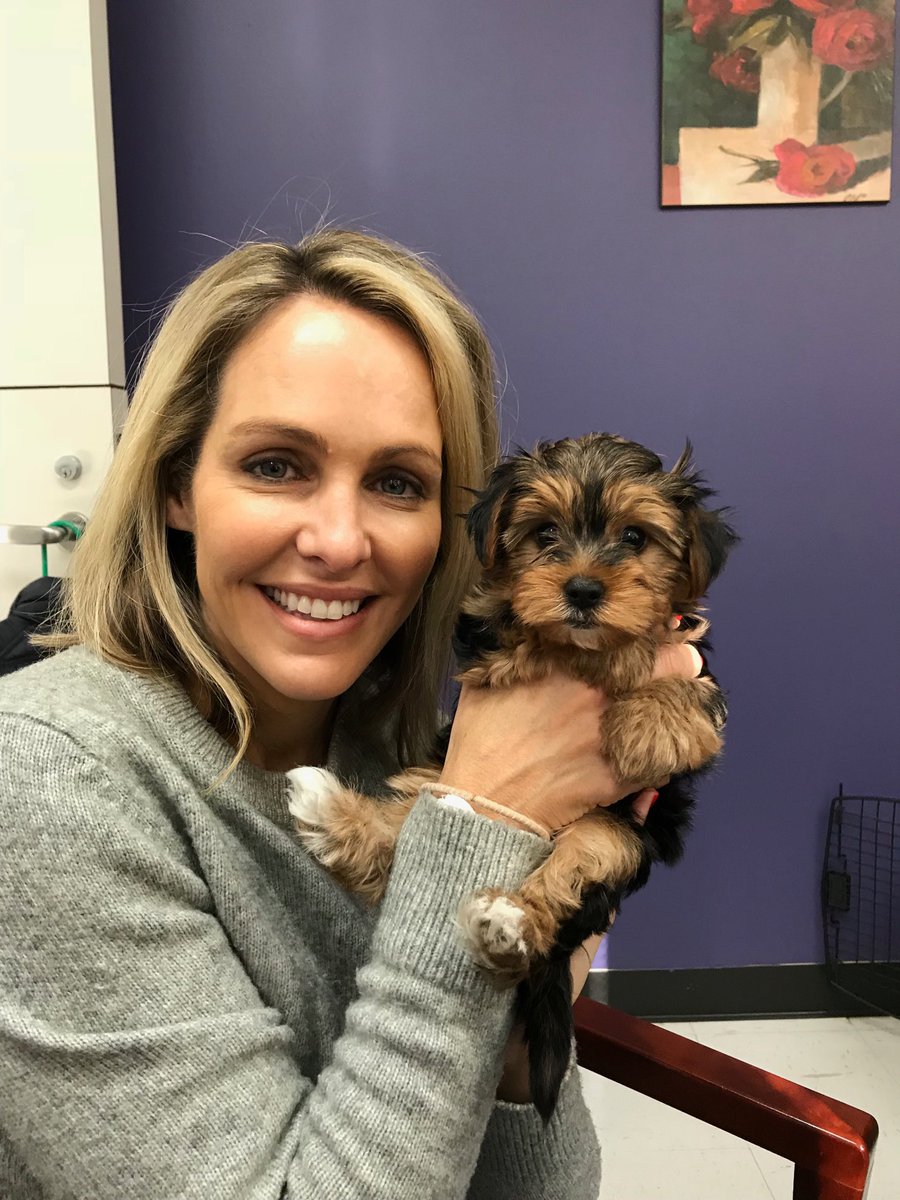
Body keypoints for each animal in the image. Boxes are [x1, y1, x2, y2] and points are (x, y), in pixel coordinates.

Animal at [289, 436, 739, 1118]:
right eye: (545, 532)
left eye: (635, 537)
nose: (582, 589)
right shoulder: (487, 630)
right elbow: (512, 622)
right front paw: (565, 644)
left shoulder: (693, 662)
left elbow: (676, 669)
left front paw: (647, 714)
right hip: (438, 775)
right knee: (402, 834)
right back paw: (334, 814)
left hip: (614, 839)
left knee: (561, 885)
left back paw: (508, 921)